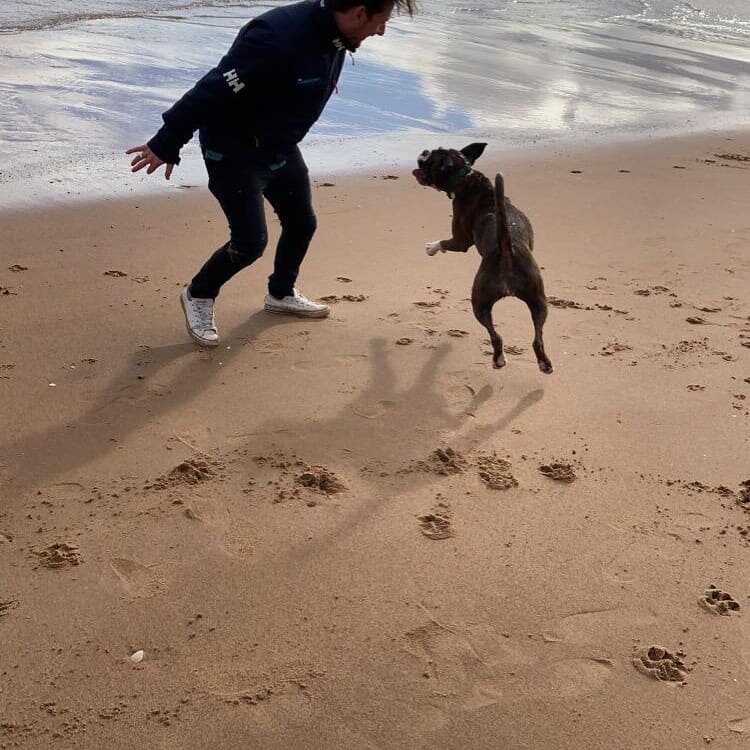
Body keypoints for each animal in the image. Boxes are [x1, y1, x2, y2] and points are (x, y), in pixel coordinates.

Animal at [414, 142, 556, 374]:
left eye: (431, 157)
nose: (424, 151)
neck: (465, 177)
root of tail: (506, 247)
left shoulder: (460, 241)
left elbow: (446, 243)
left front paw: (431, 247)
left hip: (479, 301)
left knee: (495, 335)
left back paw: (498, 359)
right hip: (539, 301)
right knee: (538, 338)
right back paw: (544, 363)